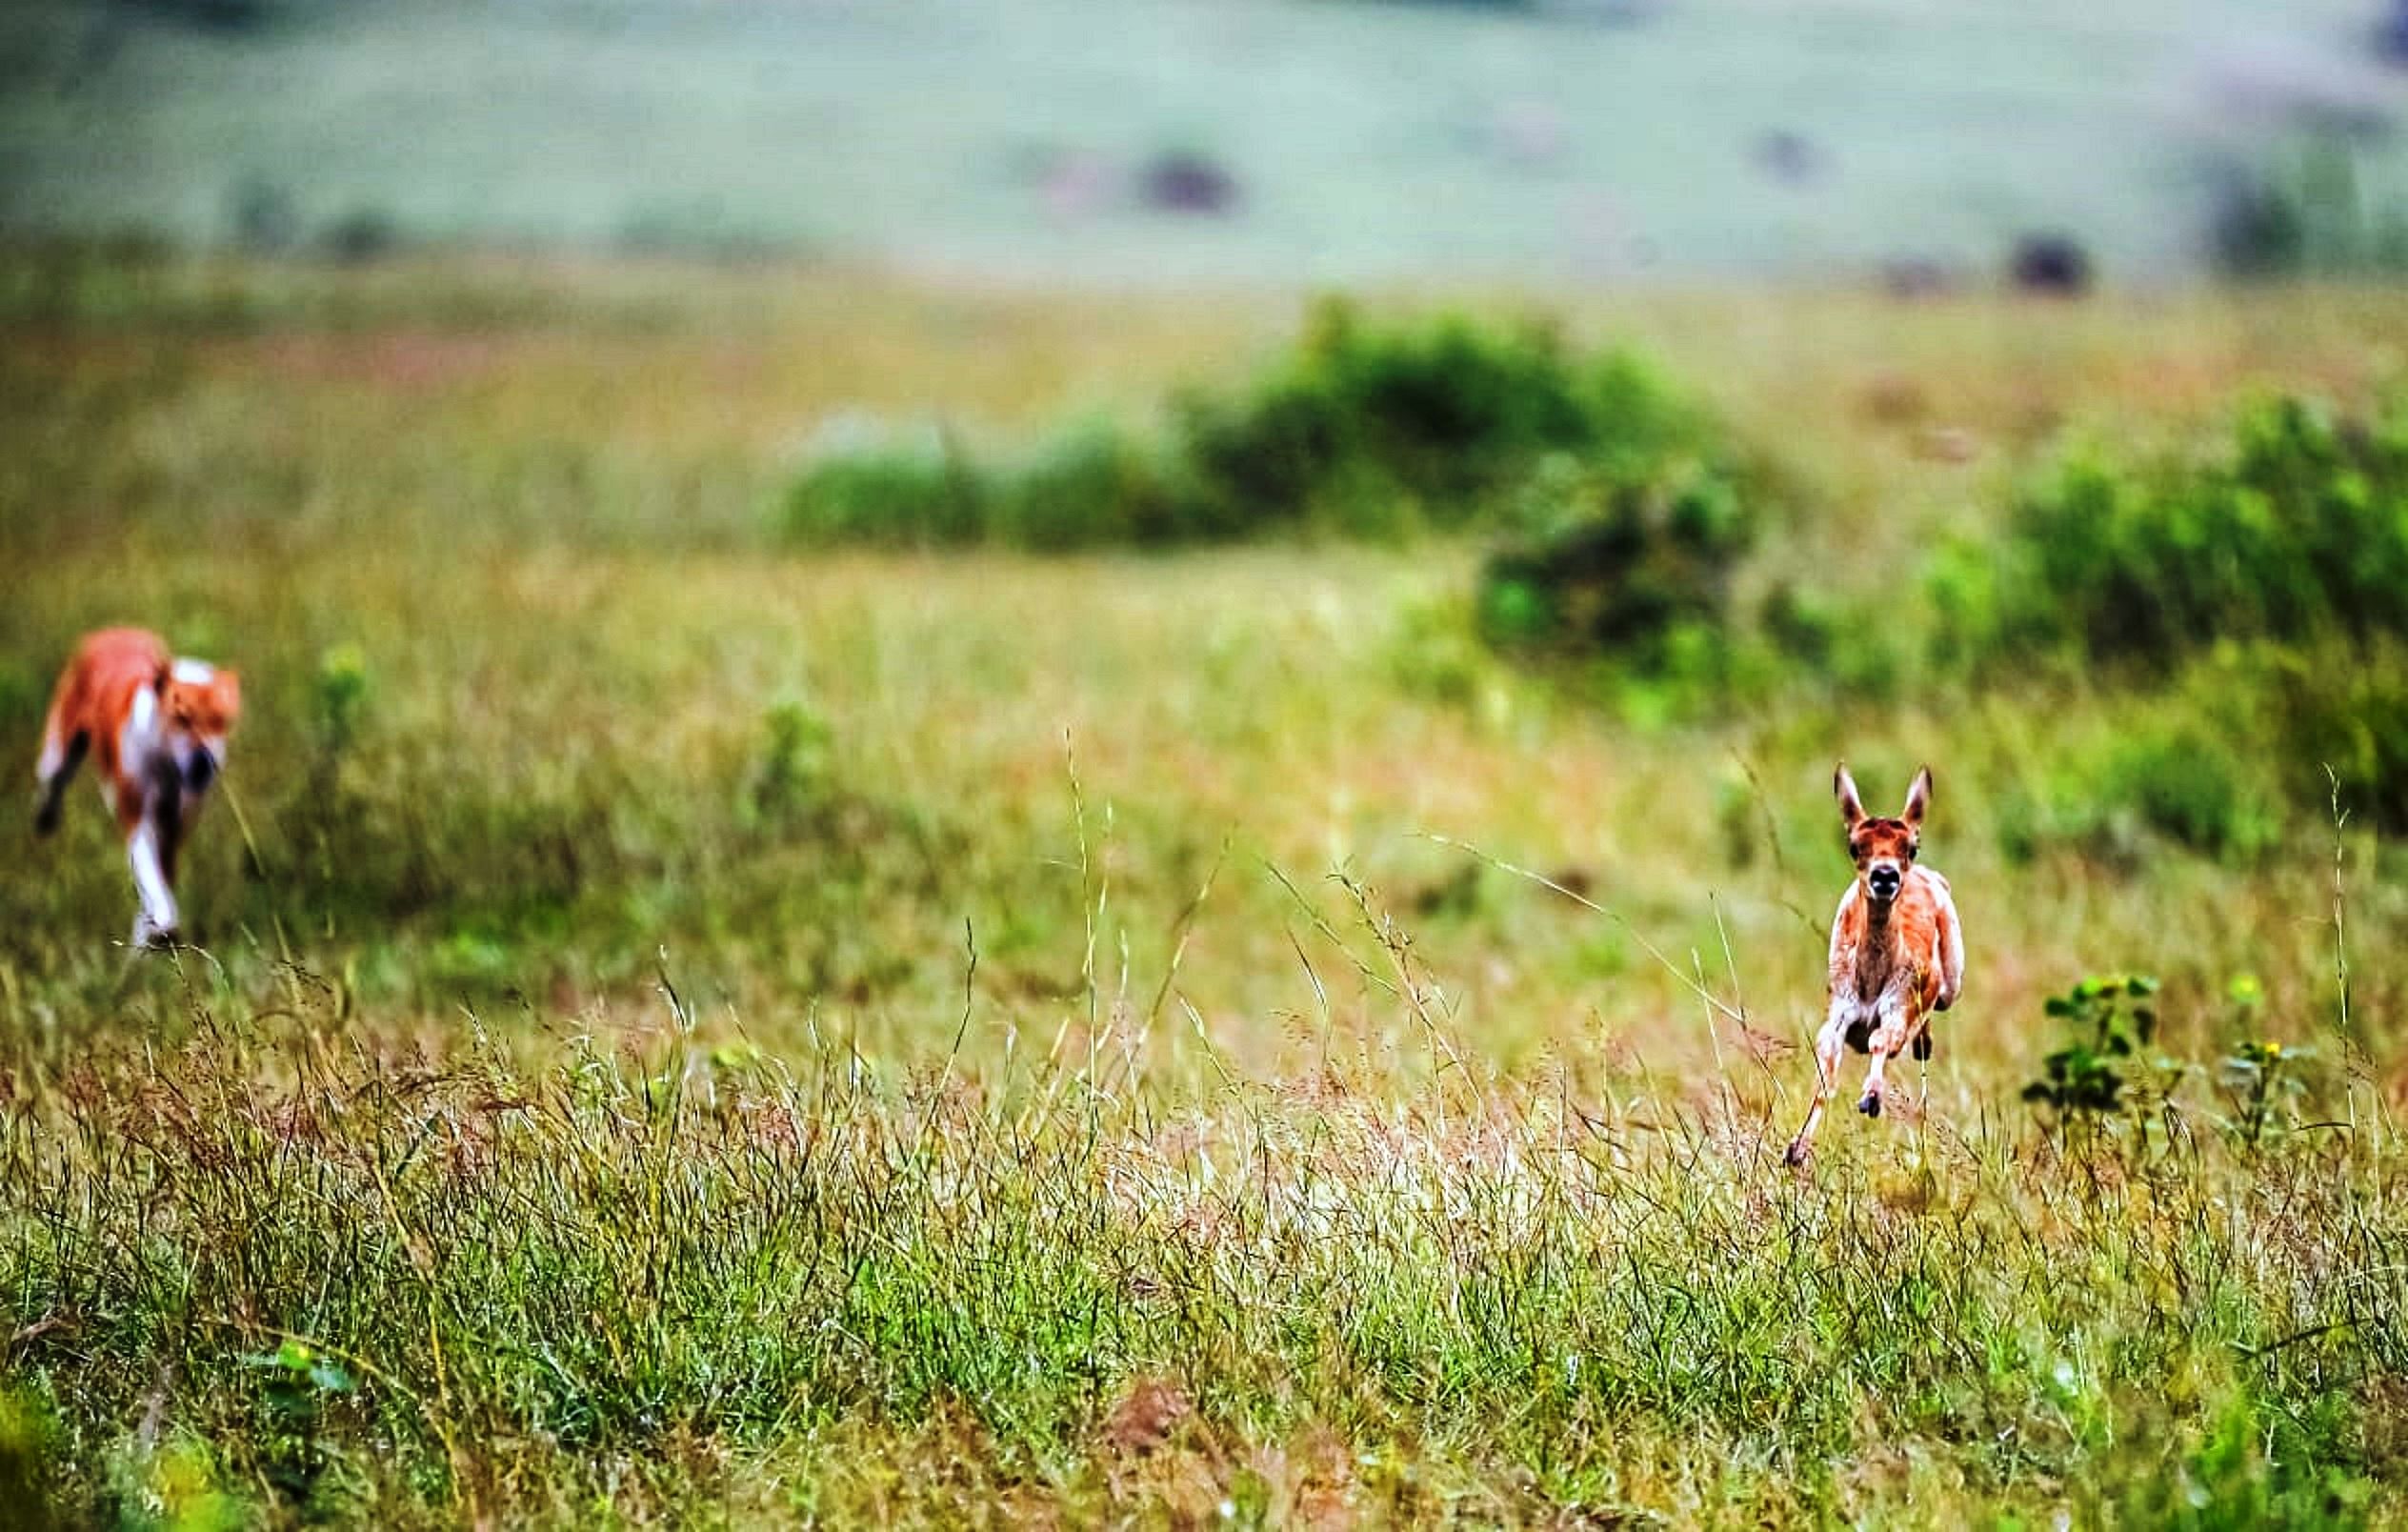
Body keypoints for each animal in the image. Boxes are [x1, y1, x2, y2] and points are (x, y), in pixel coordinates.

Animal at [1781, 760, 1964, 1165]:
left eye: (1910, 847)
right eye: (1854, 846)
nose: (1885, 875)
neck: (1870, 983)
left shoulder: (1897, 1011)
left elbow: (1882, 1039)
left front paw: (1871, 1099)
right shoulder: (1836, 1017)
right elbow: (1825, 1076)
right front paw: (1796, 1150)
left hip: (1952, 984)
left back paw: (1922, 1046)